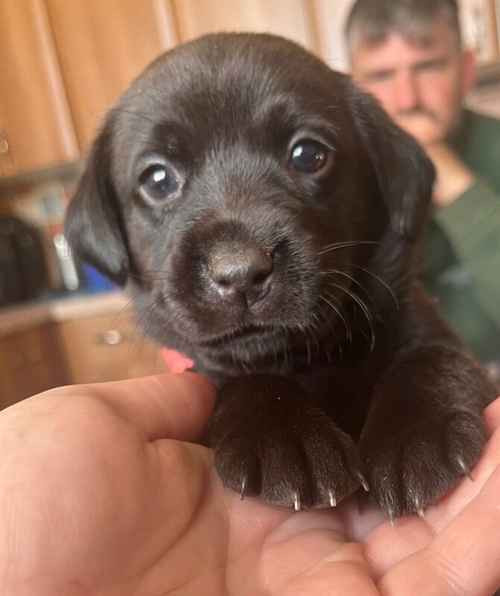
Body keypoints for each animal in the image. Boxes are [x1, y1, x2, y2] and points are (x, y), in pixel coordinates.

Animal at [63, 31, 496, 516]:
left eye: (308, 155)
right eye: (158, 180)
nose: (239, 272)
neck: (307, 357)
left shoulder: (423, 323)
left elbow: (434, 358)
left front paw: (414, 435)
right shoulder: (211, 369)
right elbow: (243, 378)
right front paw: (283, 436)